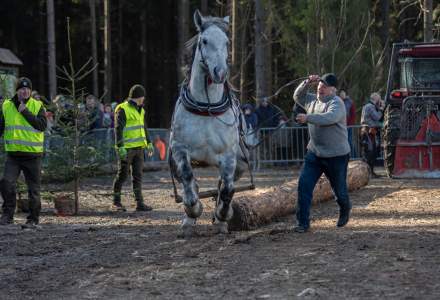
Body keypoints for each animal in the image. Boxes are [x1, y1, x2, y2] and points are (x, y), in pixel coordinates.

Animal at [170, 10, 249, 238]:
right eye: (204, 41)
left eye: (227, 42)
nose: (220, 72)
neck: (206, 108)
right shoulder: (179, 149)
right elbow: (188, 178)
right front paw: (193, 210)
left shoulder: (229, 155)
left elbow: (227, 189)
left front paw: (222, 216)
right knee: (189, 182)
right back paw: (189, 218)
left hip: (241, 163)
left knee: (224, 184)